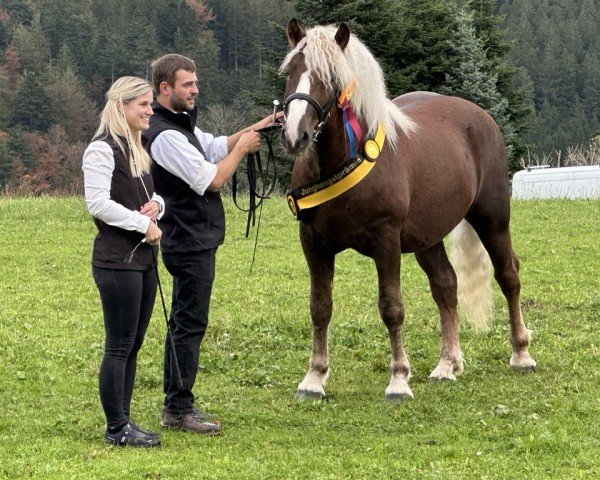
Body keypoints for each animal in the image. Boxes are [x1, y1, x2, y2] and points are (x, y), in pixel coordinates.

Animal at [278, 18, 536, 402]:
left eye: (332, 77)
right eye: (291, 70)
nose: (297, 136)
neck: (344, 159)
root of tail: (481, 117)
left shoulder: (386, 242)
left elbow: (392, 308)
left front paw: (398, 379)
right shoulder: (314, 243)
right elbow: (320, 307)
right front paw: (314, 377)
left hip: (492, 220)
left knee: (508, 275)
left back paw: (521, 353)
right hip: (427, 237)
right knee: (446, 285)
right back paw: (447, 364)